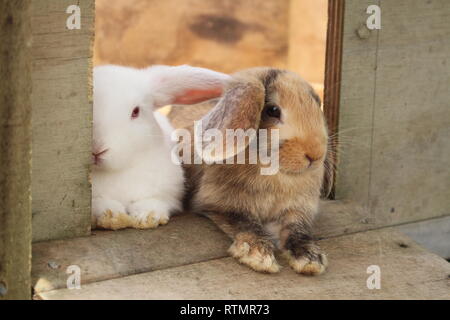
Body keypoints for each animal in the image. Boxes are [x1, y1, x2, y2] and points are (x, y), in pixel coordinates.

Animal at [92, 64, 230, 230]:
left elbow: (155, 202)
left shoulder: (168, 195)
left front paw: (147, 217)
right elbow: (100, 203)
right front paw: (112, 216)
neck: (116, 171)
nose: (97, 150)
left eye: (136, 111)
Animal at [180, 67, 330, 276]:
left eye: (317, 103)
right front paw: (259, 256)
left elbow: (297, 229)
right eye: (272, 110)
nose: (315, 154)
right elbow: (246, 224)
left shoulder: (295, 211)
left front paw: (310, 259)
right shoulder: (222, 205)